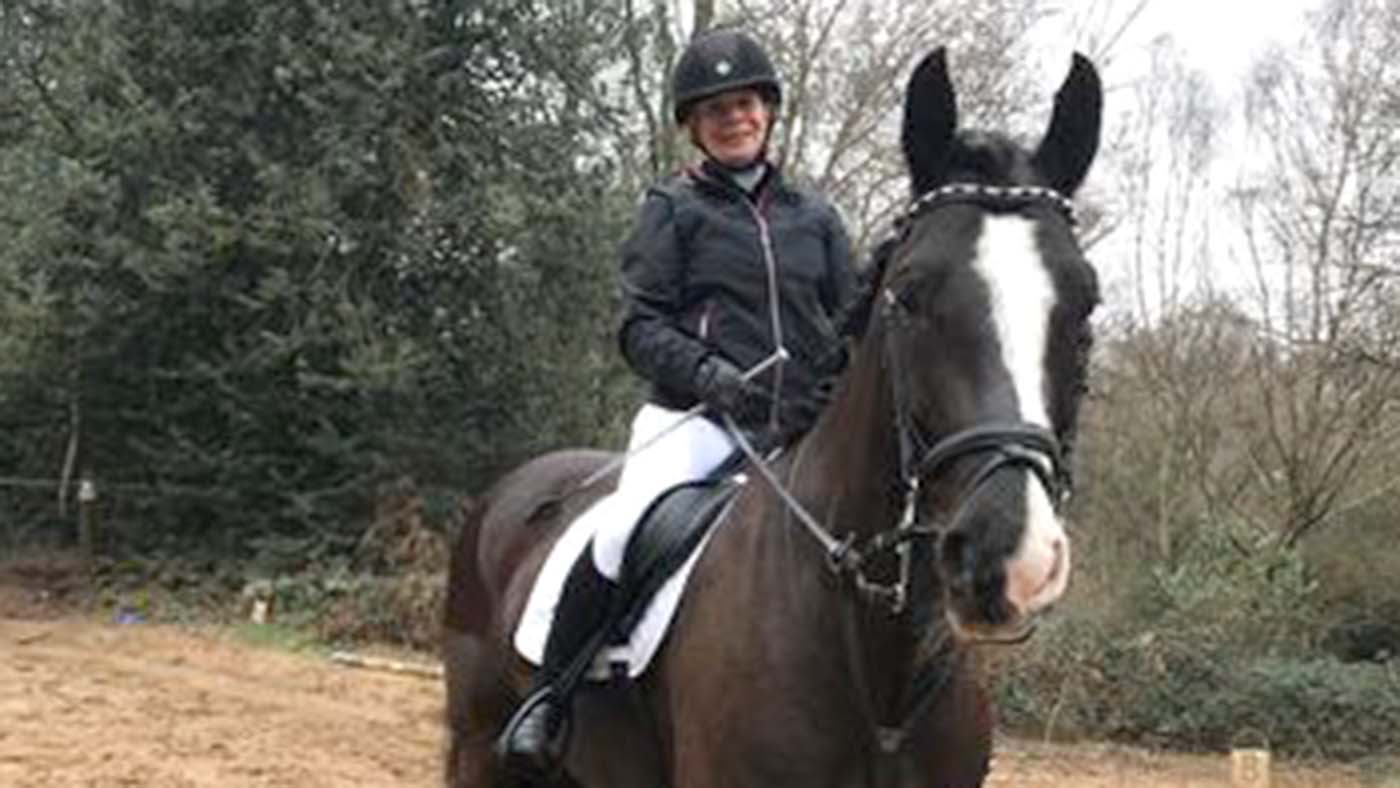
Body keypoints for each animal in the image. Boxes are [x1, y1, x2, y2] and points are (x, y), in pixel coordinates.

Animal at [448, 47, 1103, 788]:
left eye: (1086, 306)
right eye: (907, 296)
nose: (1004, 558)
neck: (880, 673)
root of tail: (513, 487)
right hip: (478, 748)